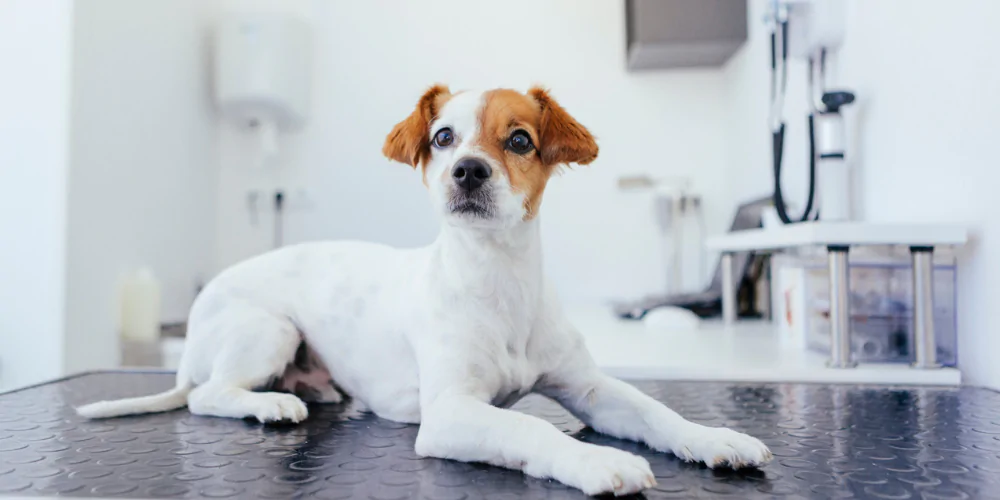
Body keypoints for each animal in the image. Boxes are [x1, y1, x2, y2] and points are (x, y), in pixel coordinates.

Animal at [76, 85, 772, 496]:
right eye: (443, 137)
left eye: (519, 139)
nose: (468, 170)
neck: (497, 280)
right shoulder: (450, 414)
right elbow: (530, 429)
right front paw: (596, 462)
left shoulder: (590, 390)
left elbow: (656, 412)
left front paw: (716, 438)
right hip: (267, 329)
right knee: (208, 396)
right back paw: (270, 404)